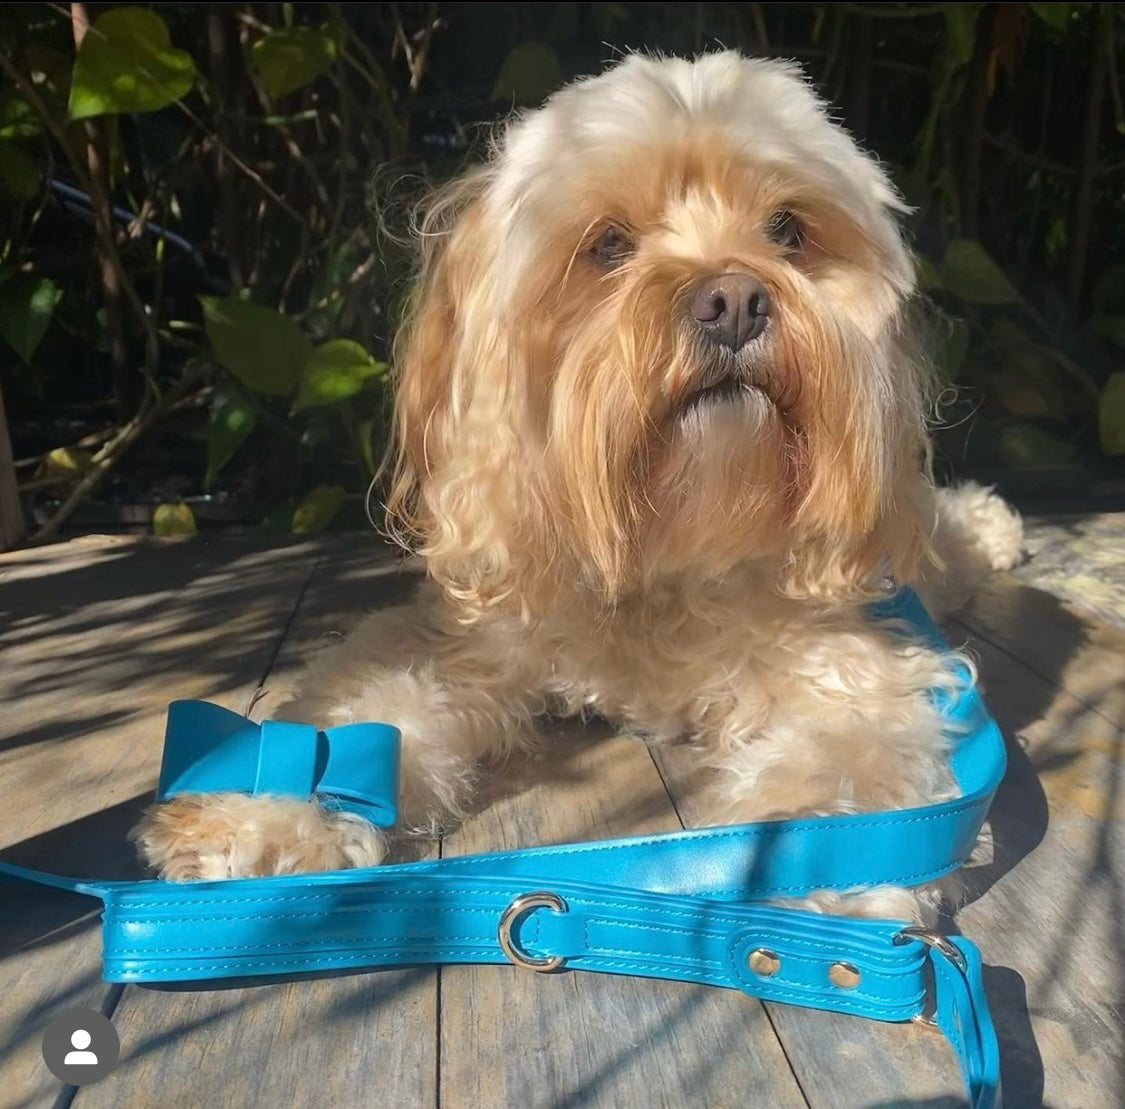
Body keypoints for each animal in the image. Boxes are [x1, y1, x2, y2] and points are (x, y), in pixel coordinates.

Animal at [136, 51, 1026, 917]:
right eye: (607, 244)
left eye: (787, 230)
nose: (735, 298)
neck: (662, 552)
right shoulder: (462, 641)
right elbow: (360, 708)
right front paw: (268, 814)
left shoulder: (850, 671)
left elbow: (846, 764)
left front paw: (823, 863)